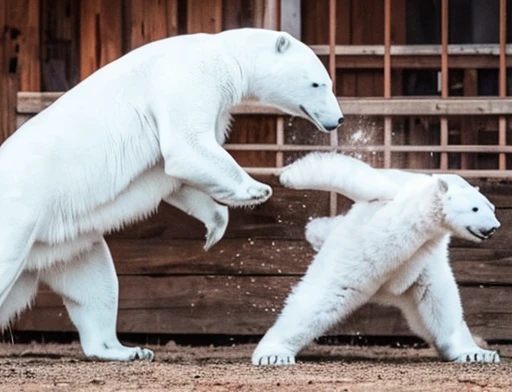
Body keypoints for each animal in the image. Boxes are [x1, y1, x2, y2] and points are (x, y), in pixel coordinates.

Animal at [1, 28, 344, 362]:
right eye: (317, 82)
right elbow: (186, 146)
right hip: (22, 213)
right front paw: (257, 189)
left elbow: (176, 177)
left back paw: (127, 350)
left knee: (96, 284)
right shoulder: (190, 78)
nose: (338, 119)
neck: (225, 51)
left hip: (62, 241)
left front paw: (215, 228)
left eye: (328, 82)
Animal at [254, 152, 502, 364]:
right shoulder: (372, 238)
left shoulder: (422, 259)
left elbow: (439, 302)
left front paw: (477, 353)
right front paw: (273, 355)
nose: (493, 228)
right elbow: (322, 296)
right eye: (475, 208)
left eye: (492, 207)